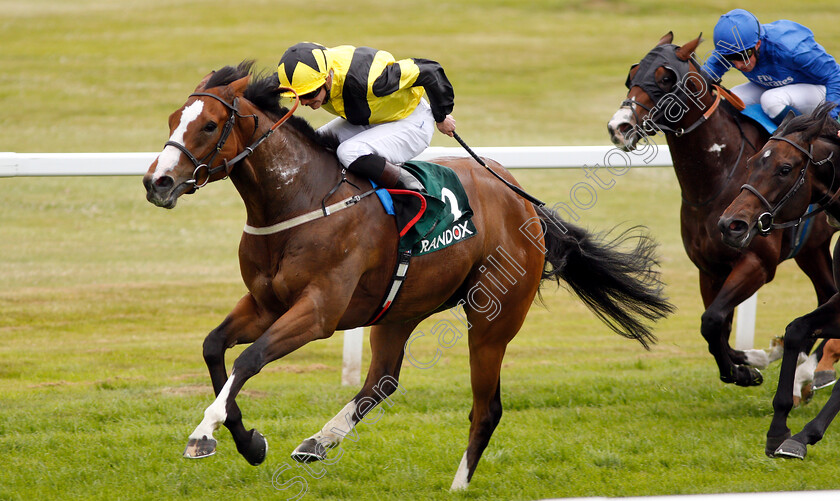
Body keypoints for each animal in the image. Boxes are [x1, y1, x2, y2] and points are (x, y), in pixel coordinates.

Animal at [141, 61, 672, 488]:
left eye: (209, 125)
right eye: (172, 120)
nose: (157, 182)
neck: (300, 201)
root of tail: (525, 202)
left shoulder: (318, 312)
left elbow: (249, 360)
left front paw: (204, 433)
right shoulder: (264, 303)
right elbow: (214, 348)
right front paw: (249, 441)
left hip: (492, 319)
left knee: (486, 407)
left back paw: (457, 485)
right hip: (398, 309)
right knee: (382, 380)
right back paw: (317, 442)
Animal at [608, 33, 836, 388]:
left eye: (665, 78)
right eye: (632, 75)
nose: (619, 126)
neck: (718, 179)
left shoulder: (757, 262)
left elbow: (713, 319)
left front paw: (746, 366)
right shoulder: (709, 268)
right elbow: (716, 327)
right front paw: (745, 364)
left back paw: (809, 370)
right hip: (812, 249)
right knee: (827, 292)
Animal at [720, 102, 840, 458]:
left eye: (785, 168)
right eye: (752, 162)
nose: (731, 224)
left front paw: (803, 433)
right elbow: (796, 328)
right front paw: (781, 431)